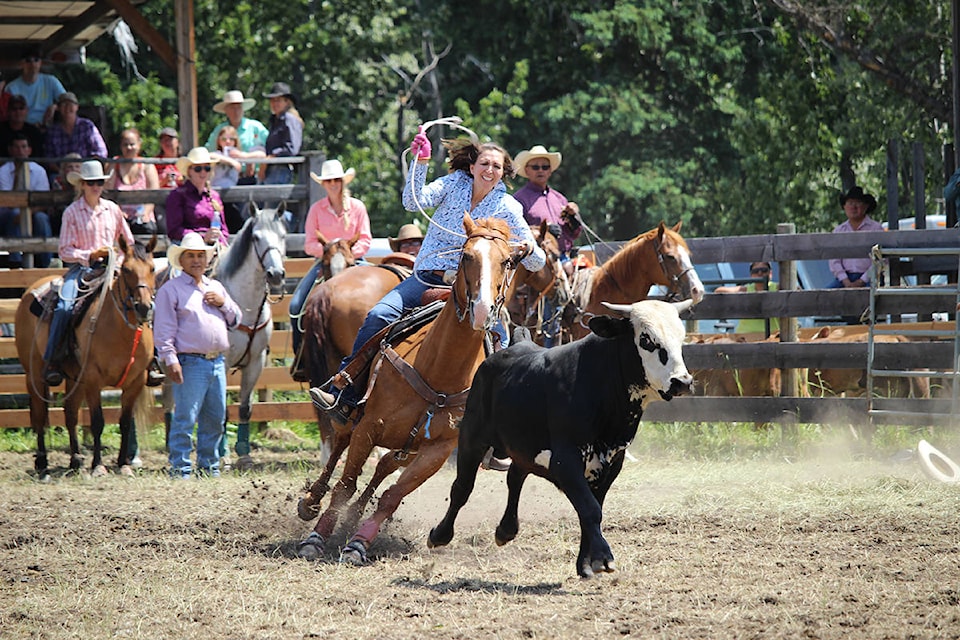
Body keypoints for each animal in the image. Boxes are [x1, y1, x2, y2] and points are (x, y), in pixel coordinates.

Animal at [15, 239, 158, 480]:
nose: (144, 307)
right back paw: (43, 464)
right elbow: (98, 422)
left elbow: (125, 422)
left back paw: (76, 460)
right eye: (126, 270)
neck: (121, 330)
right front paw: (98, 466)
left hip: (75, 378)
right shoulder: (93, 379)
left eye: (153, 269)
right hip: (33, 372)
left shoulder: (136, 381)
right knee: (39, 414)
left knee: (70, 413)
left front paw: (123, 464)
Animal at [298, 214, 528, 560]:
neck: (439, 369)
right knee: (338, 444)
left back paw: (353, 518)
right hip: (353, 413)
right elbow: (346, 484)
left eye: (507, 261)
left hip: (408, 445)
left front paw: (359, 542)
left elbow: (392, 494)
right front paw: (317, 537)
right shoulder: (369, 426)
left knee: (384, 467)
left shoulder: (437, 451)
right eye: (465, 256)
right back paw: (311, 502)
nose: (482, 310)